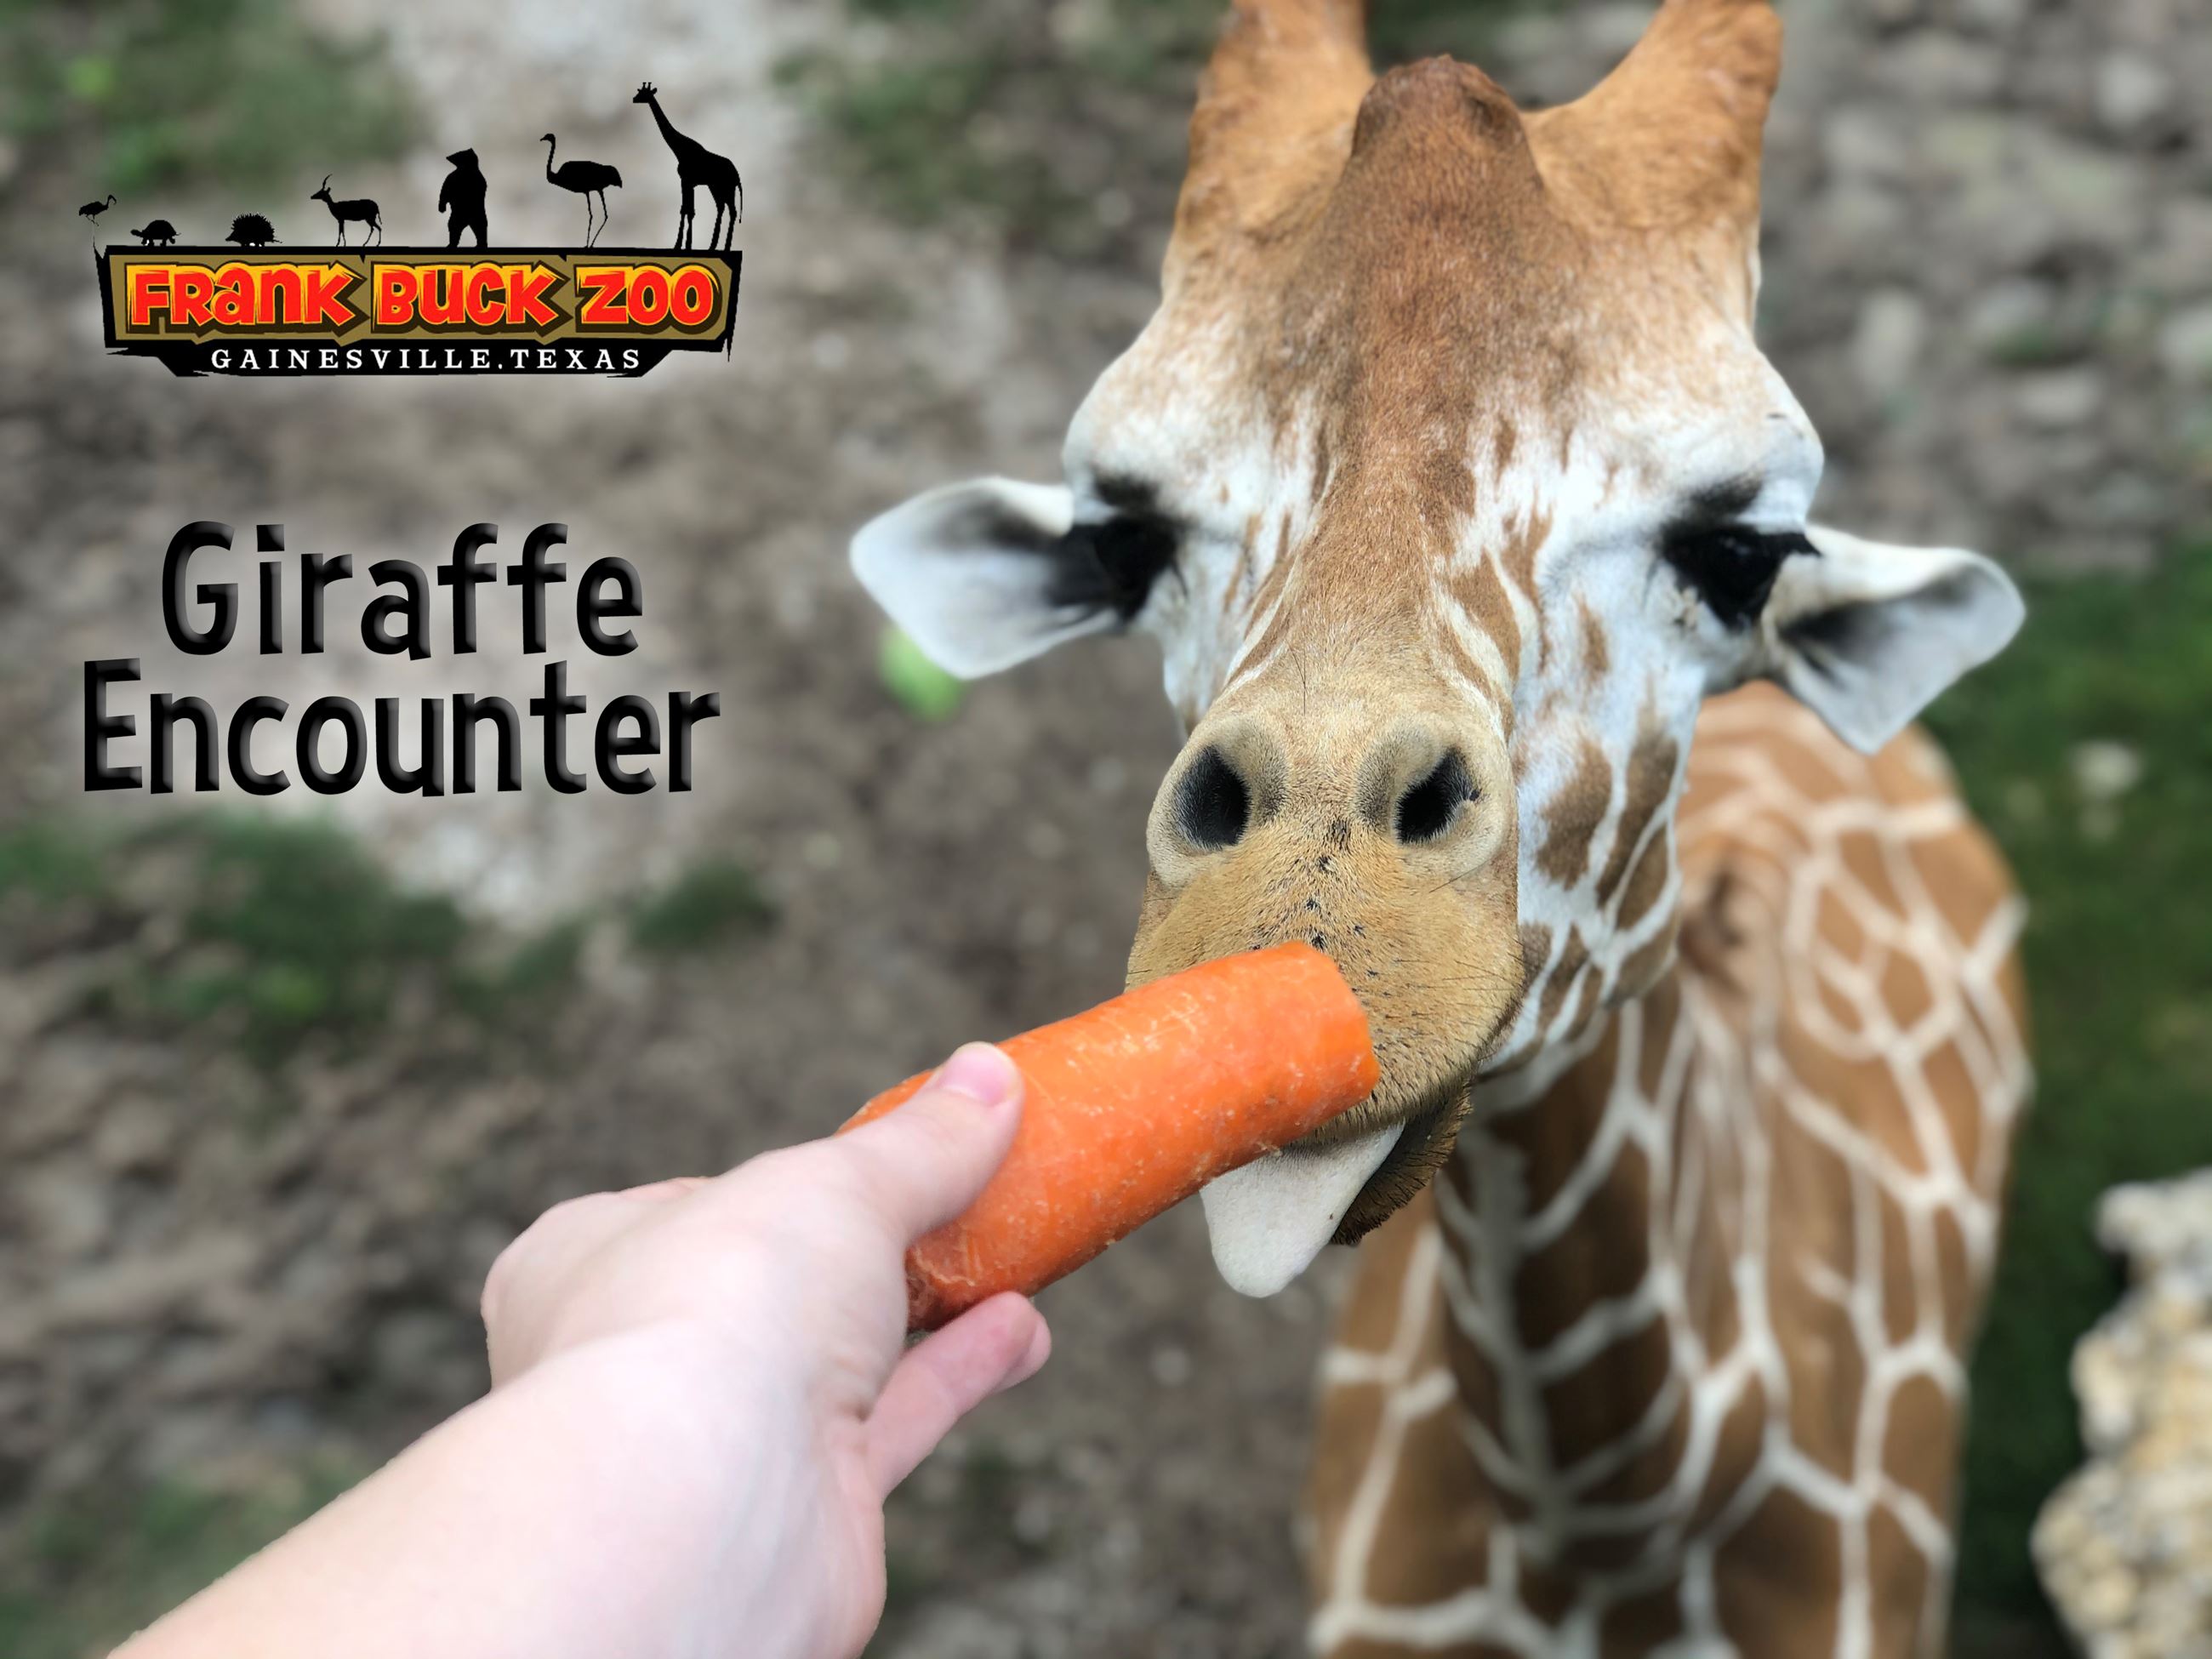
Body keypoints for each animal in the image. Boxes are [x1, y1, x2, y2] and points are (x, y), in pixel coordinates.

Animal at [633, 81, 742, 251]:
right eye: (639, 92)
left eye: (643, 94)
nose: (633, 99)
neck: (680, 149)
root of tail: (737, 175)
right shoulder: (689, 183)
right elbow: (688, 210)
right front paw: (684, 245)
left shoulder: (686, 180)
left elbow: (686, 210)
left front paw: (681, 245)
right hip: (716, 187)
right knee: (722, 208)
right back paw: (713, 246)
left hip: (727, 188)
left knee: (732, 211)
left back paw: (724, 247)